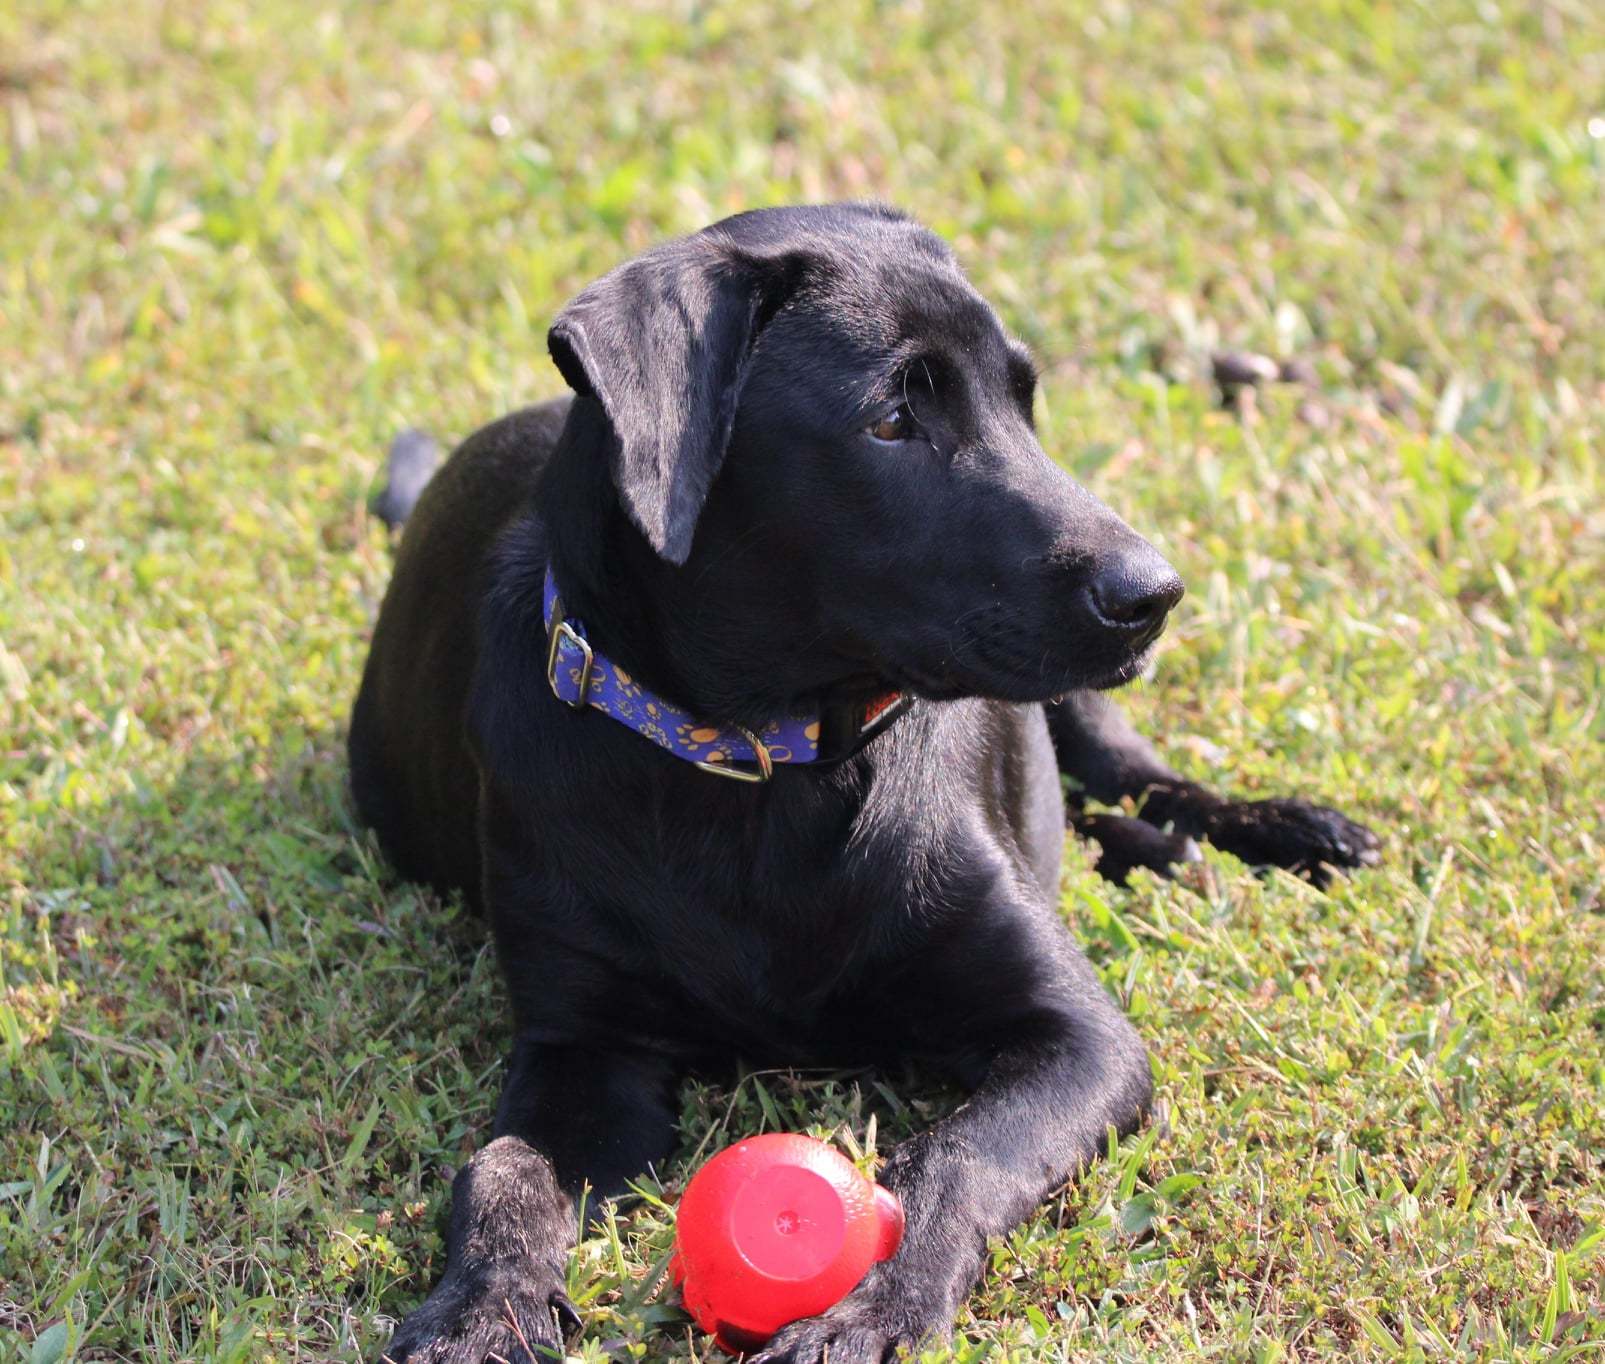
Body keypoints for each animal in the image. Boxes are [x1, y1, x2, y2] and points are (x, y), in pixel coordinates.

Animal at [351, 204, 1380, 1360]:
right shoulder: (579, 1045)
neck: (763, 767)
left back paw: (1271, 832)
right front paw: (480, 1306)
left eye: (1024, 400)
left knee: (1133, 776)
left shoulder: (1080, 1037)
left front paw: (879, 1302)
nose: (1154, 593)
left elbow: (955, 1156)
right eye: (893, 420)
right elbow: (505, 1171)